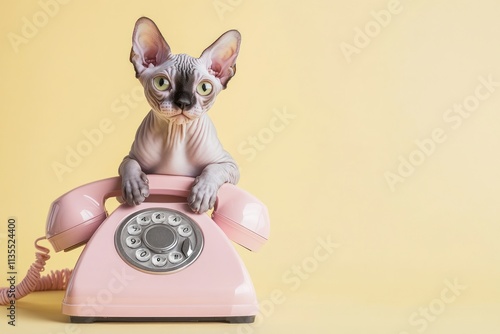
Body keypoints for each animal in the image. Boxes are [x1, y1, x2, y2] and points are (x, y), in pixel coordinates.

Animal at [119, 17, 240, 213]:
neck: (176, 137)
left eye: (204, 88)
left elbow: (214, 169)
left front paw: (202, 193)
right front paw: (134, 186)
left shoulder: (229, 164)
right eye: (161, 83)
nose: (183, 102)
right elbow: (129, 164)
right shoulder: (129, 158)